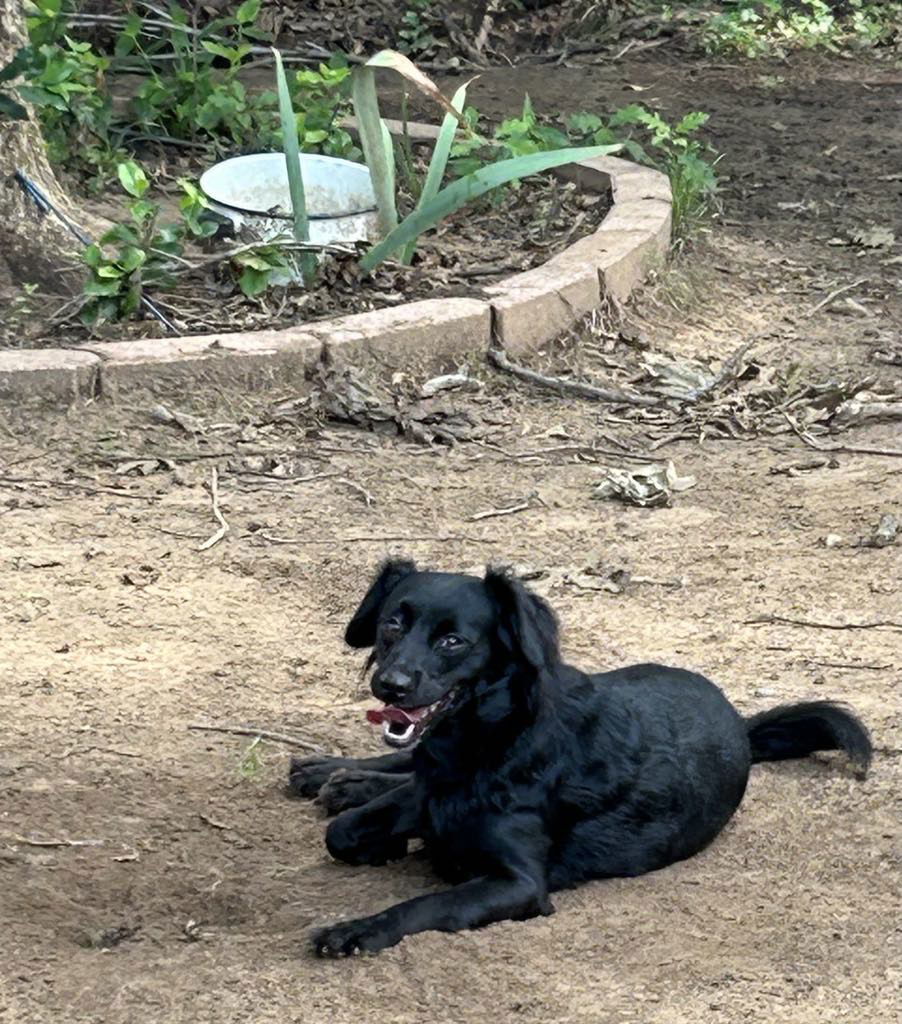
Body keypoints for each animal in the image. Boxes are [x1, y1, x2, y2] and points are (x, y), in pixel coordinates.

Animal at [290, 557, 872, 954]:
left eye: (453, 640)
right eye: (392, 623)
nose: (389, 686)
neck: (490, 744)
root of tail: (740, 724)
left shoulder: (520, 884)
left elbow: (423, 904)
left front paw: (358, 927)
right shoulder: (430, 791)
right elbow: (344, 832)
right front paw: (375, 826)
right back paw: (329, 774)